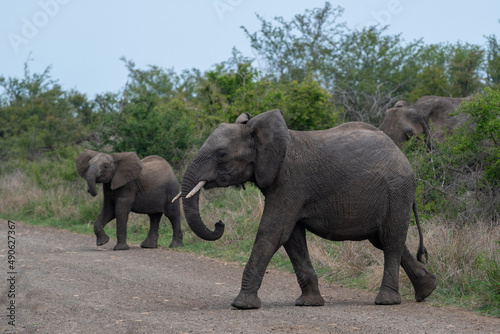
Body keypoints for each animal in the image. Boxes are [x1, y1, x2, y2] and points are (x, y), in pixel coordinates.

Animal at [178, 110, 436, 310]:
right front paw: (309, 303)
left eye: (221, 154)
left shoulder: (289, 182)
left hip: (397, 191)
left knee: (391, 240)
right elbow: (292, 238)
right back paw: (428, 290)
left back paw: (386, 301)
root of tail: (404, 159)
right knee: (384, 239)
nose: (219, 223)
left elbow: (272, 232)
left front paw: (242, 305)